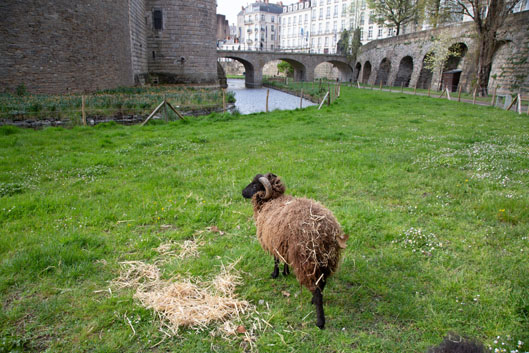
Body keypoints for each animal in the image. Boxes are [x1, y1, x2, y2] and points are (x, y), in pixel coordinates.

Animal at [241, 173, 348, 328]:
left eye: (255, 185)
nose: (242, 192)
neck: (272, 201)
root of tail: (325, 232)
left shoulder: (273, 241)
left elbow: (276, 259)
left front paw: (275, 274)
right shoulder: (282, 243)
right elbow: (283, 258)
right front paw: (286, 272)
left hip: (307, 261)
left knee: (317, 289)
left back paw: (320, 321)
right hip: (326, 260)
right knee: (322, 284)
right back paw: (313, 301)